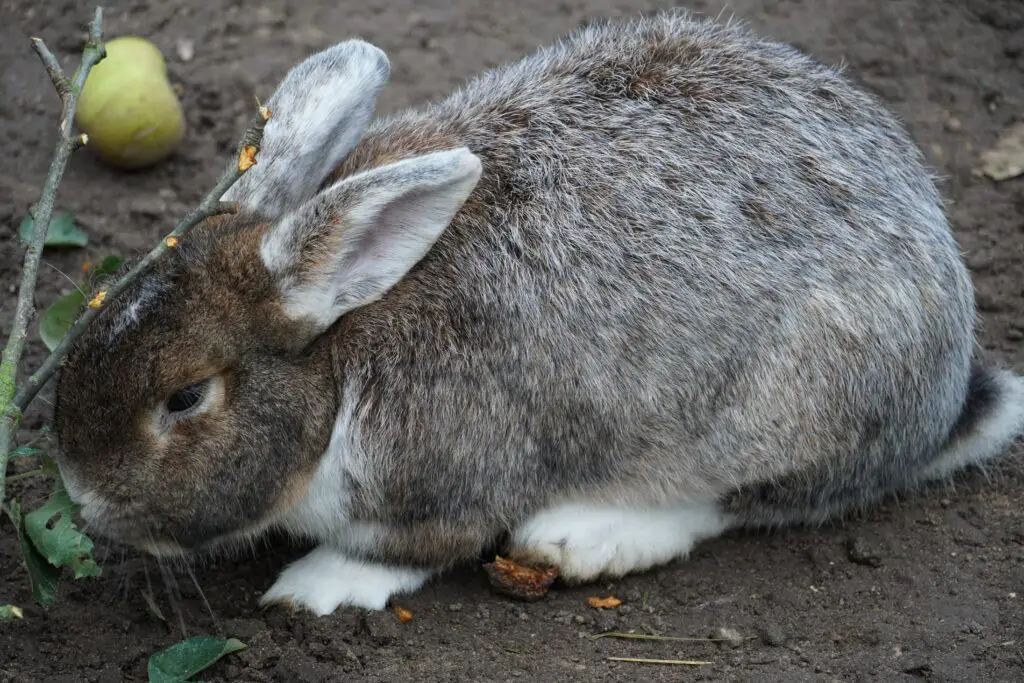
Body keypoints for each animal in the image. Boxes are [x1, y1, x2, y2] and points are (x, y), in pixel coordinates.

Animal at [54, 7, 1024, 618]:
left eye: (186, 397)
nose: (82, 498)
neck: (339, 356)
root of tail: (948, 394)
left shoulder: (446, 485)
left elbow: (402, 550)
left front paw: (314, 587)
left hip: (791, 403)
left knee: (739, 503)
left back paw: (584, 537)